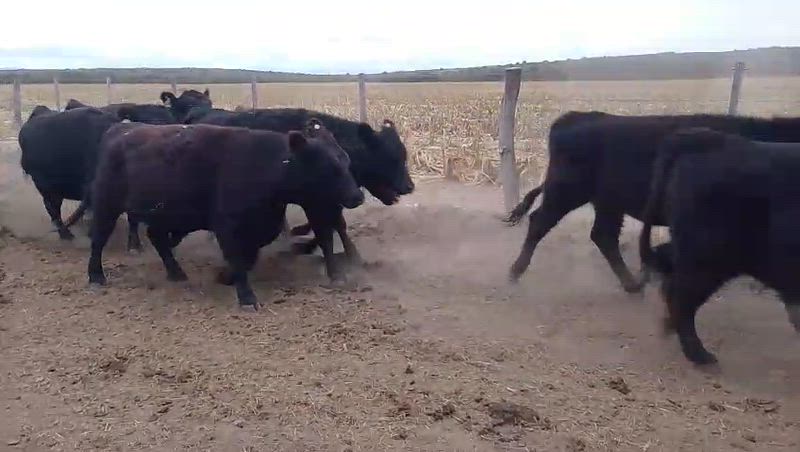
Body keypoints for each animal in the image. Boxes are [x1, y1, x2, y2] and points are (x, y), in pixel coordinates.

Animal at [87, 120, 364, 308]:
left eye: (347, 160)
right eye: (329, 167)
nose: (357, 197)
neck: (267, 165)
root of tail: (119, 130)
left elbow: (247, 257)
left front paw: (225, 276)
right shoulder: (226, 226)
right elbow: (238, 258)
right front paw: (246, 297)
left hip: (162, 213)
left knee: (157, 238)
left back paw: (176, 273)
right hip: (107, 204)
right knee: (98, 238)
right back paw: (96, 275)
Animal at [185, 107, 414, 278]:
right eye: (389, 157)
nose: (409, 186)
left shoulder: (332, 201)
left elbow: (336, 226)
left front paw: (353, 258)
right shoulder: (315, 202)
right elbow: (325, 229)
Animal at [505, 111, 800, 293]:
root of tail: (575, 117)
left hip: (608, 202)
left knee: (603, 236)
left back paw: (633, 285)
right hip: (567, 191)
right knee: (539, 222)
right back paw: (515, 272)